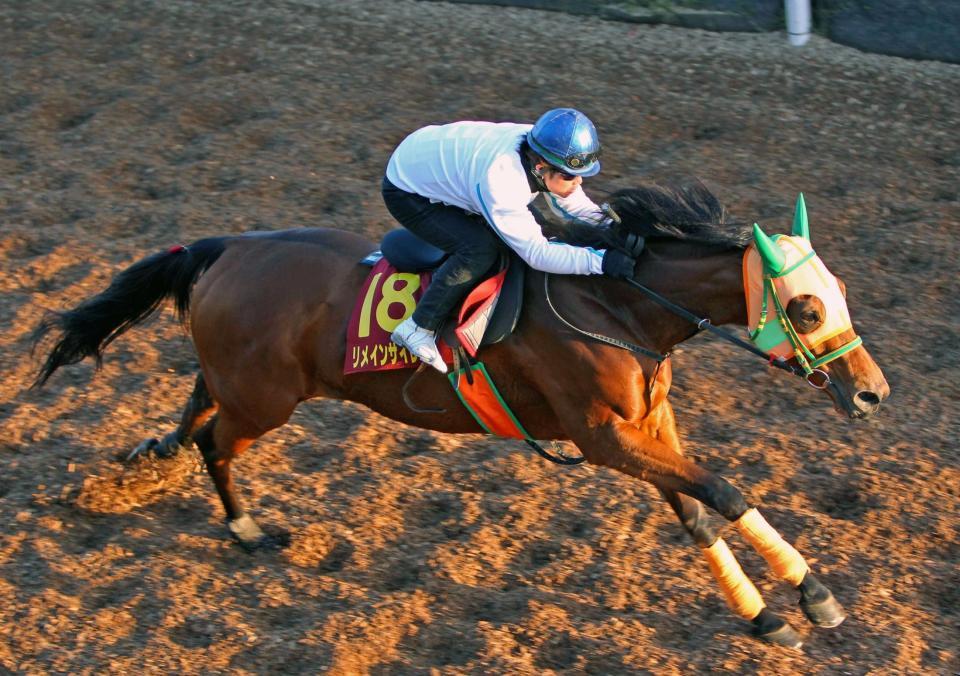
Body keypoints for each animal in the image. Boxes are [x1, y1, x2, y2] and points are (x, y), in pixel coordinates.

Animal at [31, 182, 892, 648]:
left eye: (841, 292)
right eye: (806, 308)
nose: (873, 393)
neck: (617, 303)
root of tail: (227, 247)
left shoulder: (645, 431)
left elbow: (701, 510)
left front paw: (777, 613)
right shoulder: (603, 438)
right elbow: (723, 492)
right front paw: (810, 599)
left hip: (243, 378)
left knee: (195, 404)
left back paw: (151, 459)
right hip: (267, 397)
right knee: (217, 439)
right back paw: (244, 527)